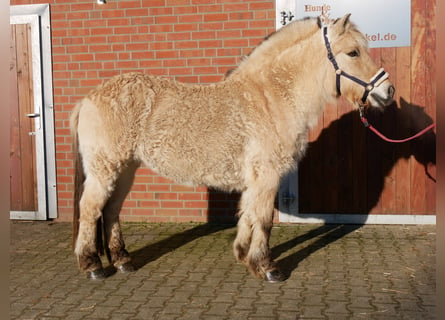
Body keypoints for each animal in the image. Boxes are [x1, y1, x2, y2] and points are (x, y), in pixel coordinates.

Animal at [71, 13, 394, 282]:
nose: (388, 91)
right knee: (90, 209)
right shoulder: (267, 175)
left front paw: (243, 255)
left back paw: (123, 260)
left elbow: (248, 214)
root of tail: (88, 98)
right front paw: (267, 267)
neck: (271, 97)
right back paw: (92, 265)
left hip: (126, 169)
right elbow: (263, 220)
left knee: (111, 210)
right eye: (353, 52)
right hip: (105, 169)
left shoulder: (256, 179)